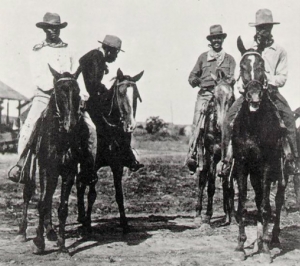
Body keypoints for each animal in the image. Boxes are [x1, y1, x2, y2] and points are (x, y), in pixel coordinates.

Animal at [18, 65, 82, 254]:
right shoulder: (47, 169)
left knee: (49, 197)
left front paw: (62, 244)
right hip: (33, 169)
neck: (60, 138)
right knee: (29, 194)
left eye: (77, 91)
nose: (71, 124)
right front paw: (39, 242)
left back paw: (51, 232)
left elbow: (62, 207)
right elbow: (42, 203)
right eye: (59, 91)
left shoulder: (69, 172)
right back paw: (22, 232)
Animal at [77, 68, 144, 233]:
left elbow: (119, 194)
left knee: (80, 185)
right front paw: (88, 224)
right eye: (120, 93)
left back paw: (81, 217)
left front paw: (124, 223)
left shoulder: (117, 166)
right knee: (80, 185)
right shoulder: (92, 167)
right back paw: (82, 218)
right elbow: (92, 195)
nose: (130, 125)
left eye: (136, 95)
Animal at [193, 69, 236, 225]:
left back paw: (227, 213)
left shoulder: (231, 156)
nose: (221, 124)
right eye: (215, 97)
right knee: (202, 179)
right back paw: (198, 213)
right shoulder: (212, 155)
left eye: (231, 98)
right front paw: (208, 215)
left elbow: (228, 184)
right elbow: (211, 185)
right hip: (204, 157)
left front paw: (232, 215)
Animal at [231, 36, 290, 262]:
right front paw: (241, 246)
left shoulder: (266, 166)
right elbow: (241, 206)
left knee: (278, 202)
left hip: (282, 174)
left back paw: (273, 239)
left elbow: (266, 207)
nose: (254, 97)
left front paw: (264, 250)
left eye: (262, 65)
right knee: (257, 199)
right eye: (242, 66)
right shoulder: (242, 165)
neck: (253, 125)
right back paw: (258, 238)